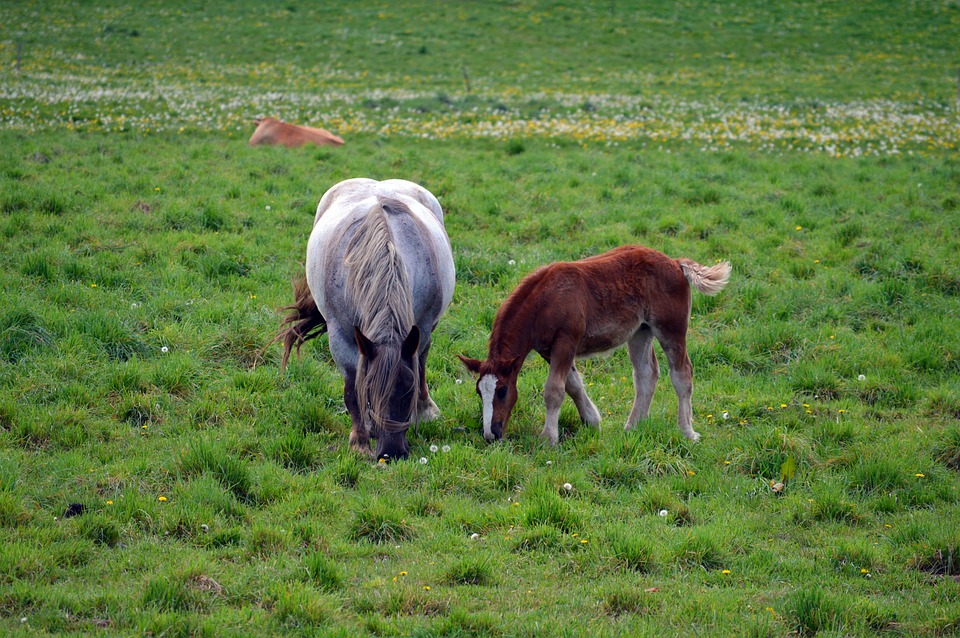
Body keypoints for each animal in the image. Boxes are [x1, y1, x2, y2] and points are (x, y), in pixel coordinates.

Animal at [273, 178, 455, 460]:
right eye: (370, 391)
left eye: (408, 390)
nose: (391, 453)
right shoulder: (341, 337)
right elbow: (351, 390)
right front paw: (359, 442)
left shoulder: (422, 330)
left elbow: (420, 366)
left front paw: (422, 411)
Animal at [459, 245, 730, 446]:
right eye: (479, 392)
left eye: (503, 391)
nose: (491, 434)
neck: (544, 301)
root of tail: (675, 263)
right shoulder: (549, 350)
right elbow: (573, 385)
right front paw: (592, 422)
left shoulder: (566, 341)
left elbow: (554, 390)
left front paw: (549, 439)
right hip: (640, 332)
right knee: (646, 375)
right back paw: (634, 427)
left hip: (671, 329)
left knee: (682, 375)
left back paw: (687, 432)